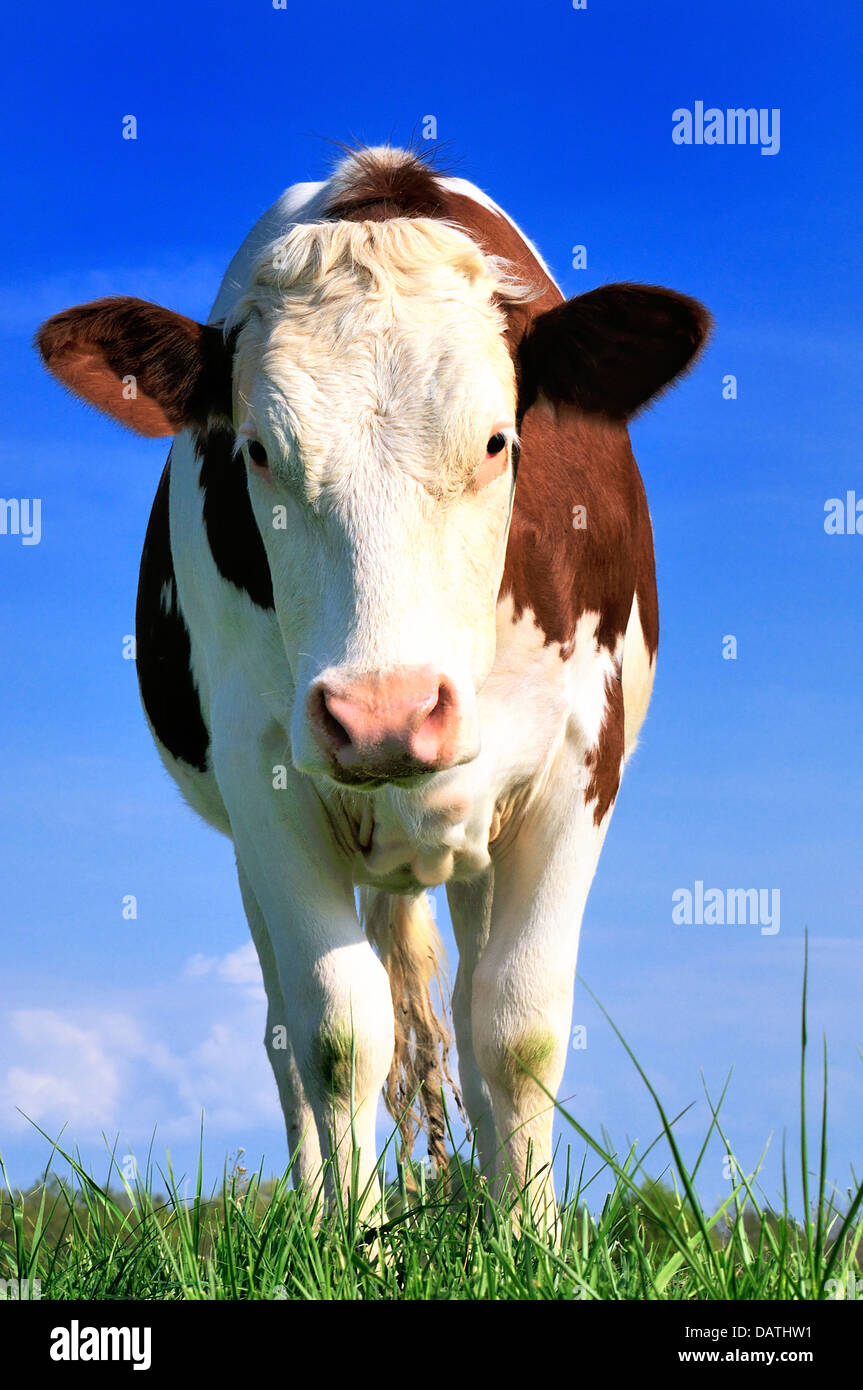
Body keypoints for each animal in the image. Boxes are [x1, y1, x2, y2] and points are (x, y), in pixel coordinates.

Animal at [37, 146, 709, 1220]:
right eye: (258, 451)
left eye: (497, 442)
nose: (382, 716)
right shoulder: (263, 777)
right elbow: (338, 1033)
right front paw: (352, 1240)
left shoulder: (579, 762)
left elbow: (518, 1031)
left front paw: (527, 1238)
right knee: (291, 1034)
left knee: (469, 1016)